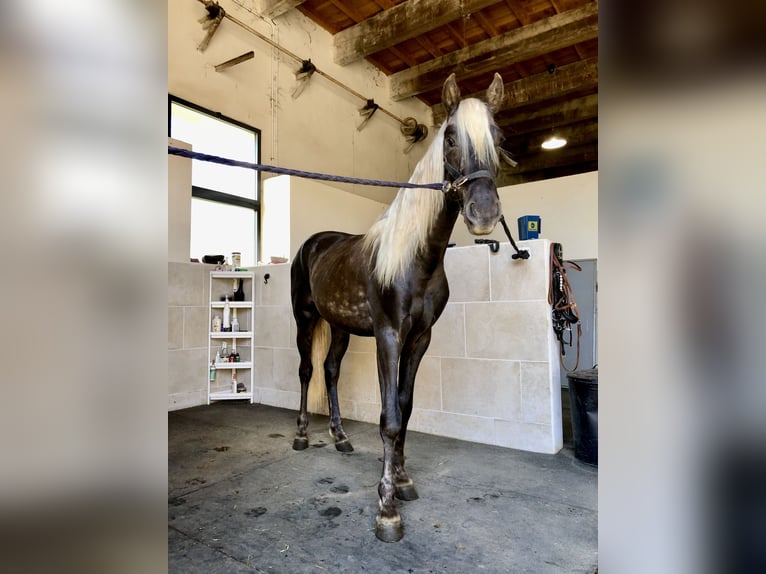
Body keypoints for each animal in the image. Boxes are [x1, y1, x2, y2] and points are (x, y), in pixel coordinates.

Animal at [290, 73, 505, 542]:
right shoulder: (389, 336)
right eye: (450, 138)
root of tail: (313, 243)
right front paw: (387, 509)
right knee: (307, 371)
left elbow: (405, 409)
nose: (483, 213)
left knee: (330, 372)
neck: (416, 259)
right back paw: (300, 435)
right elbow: (389, 416)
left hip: (340, 326)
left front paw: (403, 481)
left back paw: (340, 438)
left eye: (498, 138)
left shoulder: (420, 339)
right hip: (306, 320)